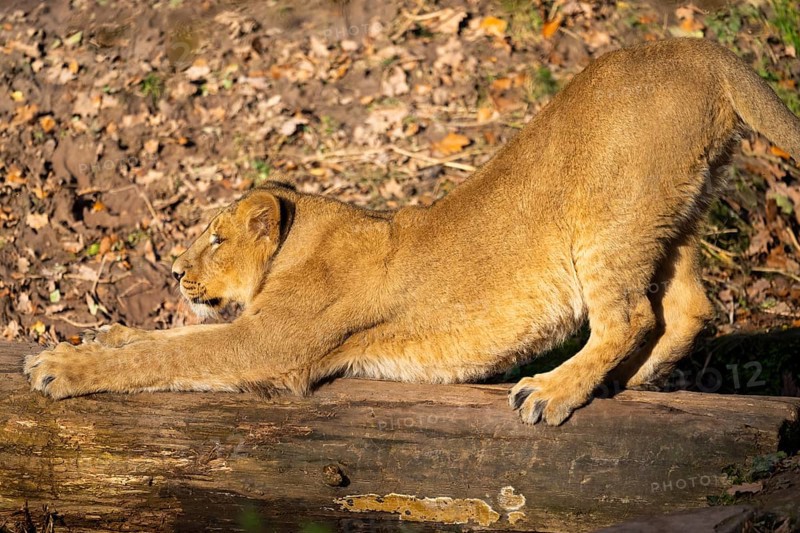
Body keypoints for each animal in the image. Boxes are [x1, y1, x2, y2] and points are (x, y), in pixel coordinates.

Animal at [25, 39, 800, 425]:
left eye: (214, 239)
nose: (177, 275)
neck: (301, 236)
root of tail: (699, 50)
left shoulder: (269, 346)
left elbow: (173, 354)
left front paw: (64, 368)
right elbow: (164, 340)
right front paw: (109, 335)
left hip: (608, 217)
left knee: (630, 315)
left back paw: (551, 391)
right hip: (672, 212)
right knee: (690, 308)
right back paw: (624, 384)